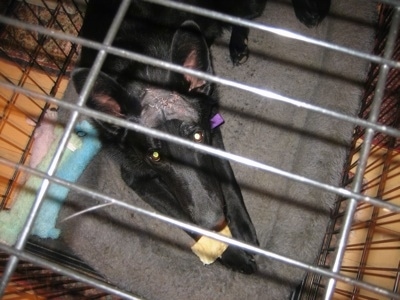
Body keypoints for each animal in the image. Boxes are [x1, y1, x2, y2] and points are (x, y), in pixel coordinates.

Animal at [72, 0, 332, 274]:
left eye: (196, 137)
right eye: (155, 156)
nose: (213, 221)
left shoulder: (212, 131)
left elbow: (228, 182)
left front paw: (242, 229)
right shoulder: (137, 177)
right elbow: (182, 215)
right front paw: (231, 254)